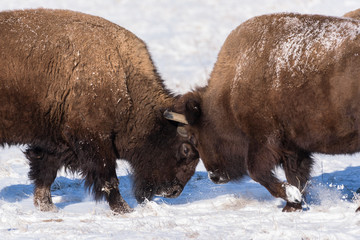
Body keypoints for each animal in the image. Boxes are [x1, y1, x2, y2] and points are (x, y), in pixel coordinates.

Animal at [0, 8, 200, 214]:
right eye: (185, 149)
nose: (174, 191)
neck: (123, 78)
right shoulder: (95, 140)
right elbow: (108, 179)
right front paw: (124, 209)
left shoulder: (56, 140)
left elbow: (46, 172)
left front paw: (47, 206)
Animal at [167, 12, 360, 212]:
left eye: (194, 137)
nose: (215, 176)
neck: (229, 93)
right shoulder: (293, 148)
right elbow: (296, 175)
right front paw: (292, 205)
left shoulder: (264, 140)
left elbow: (257, 172)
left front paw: (291, 196)